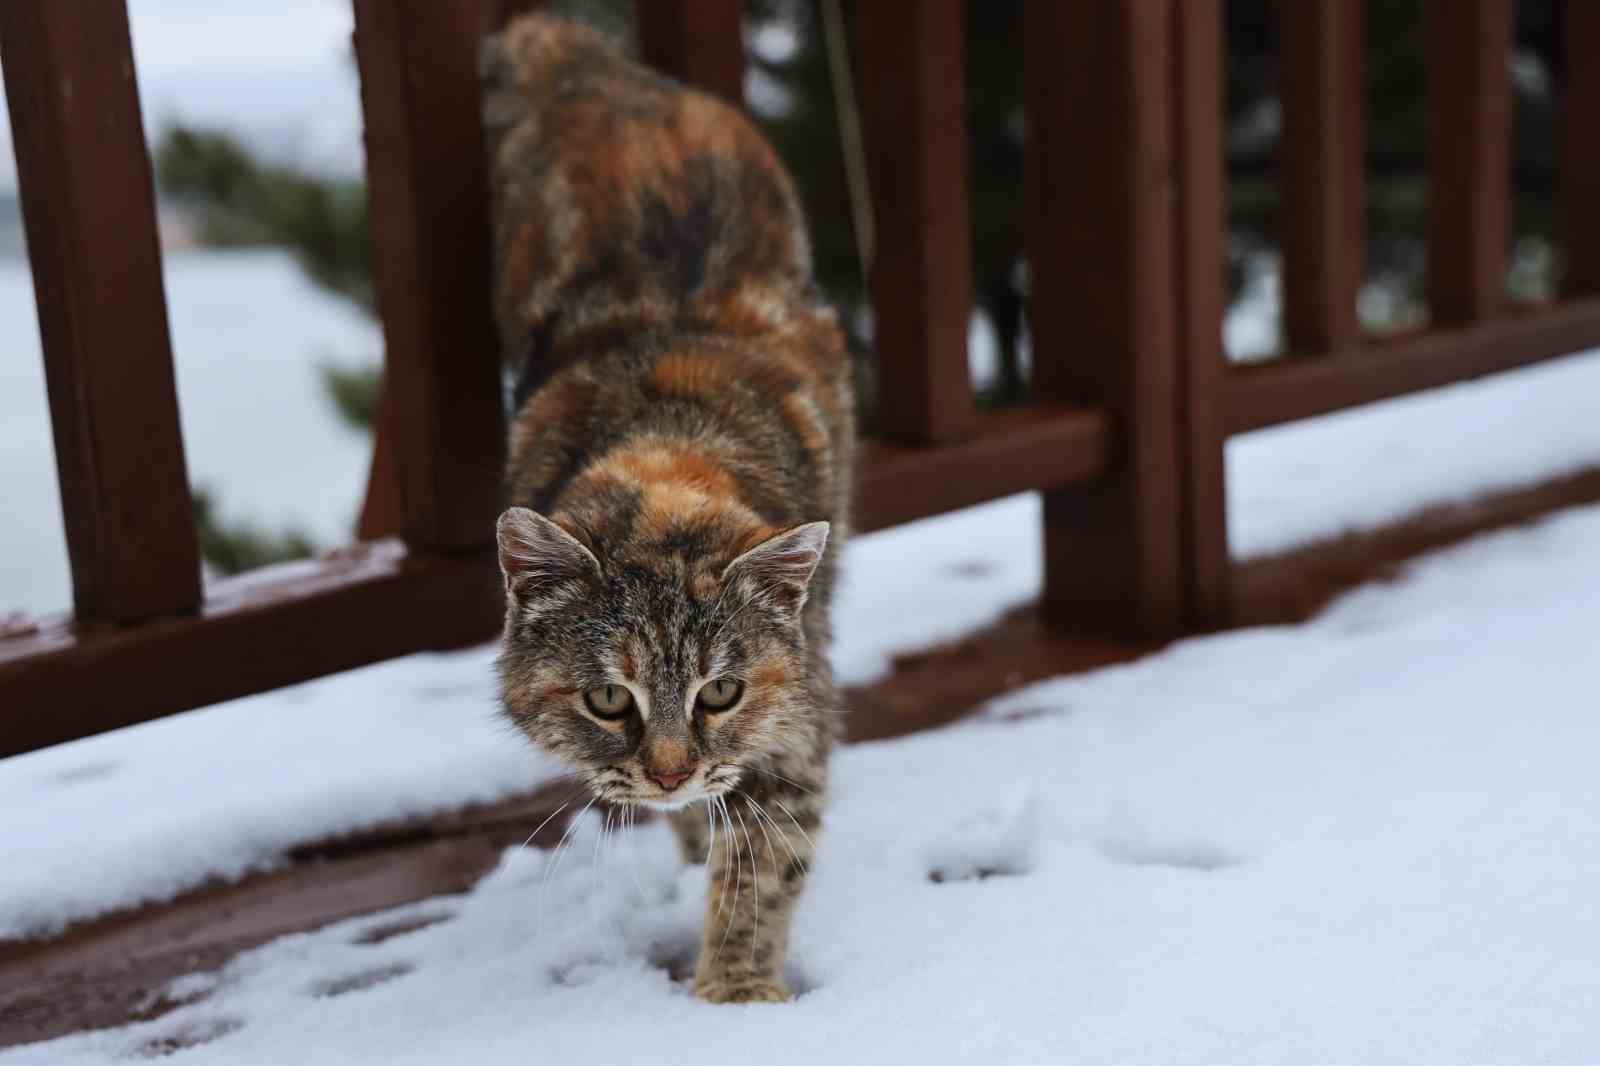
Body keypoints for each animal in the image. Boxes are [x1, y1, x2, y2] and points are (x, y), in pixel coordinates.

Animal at [476, 12, 851, 998]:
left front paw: (735, 993)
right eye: (609, 699)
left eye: (721, 690)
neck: (667, 449)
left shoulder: (794, 713)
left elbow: (761, 863)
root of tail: (587, 62)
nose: (673, 771)